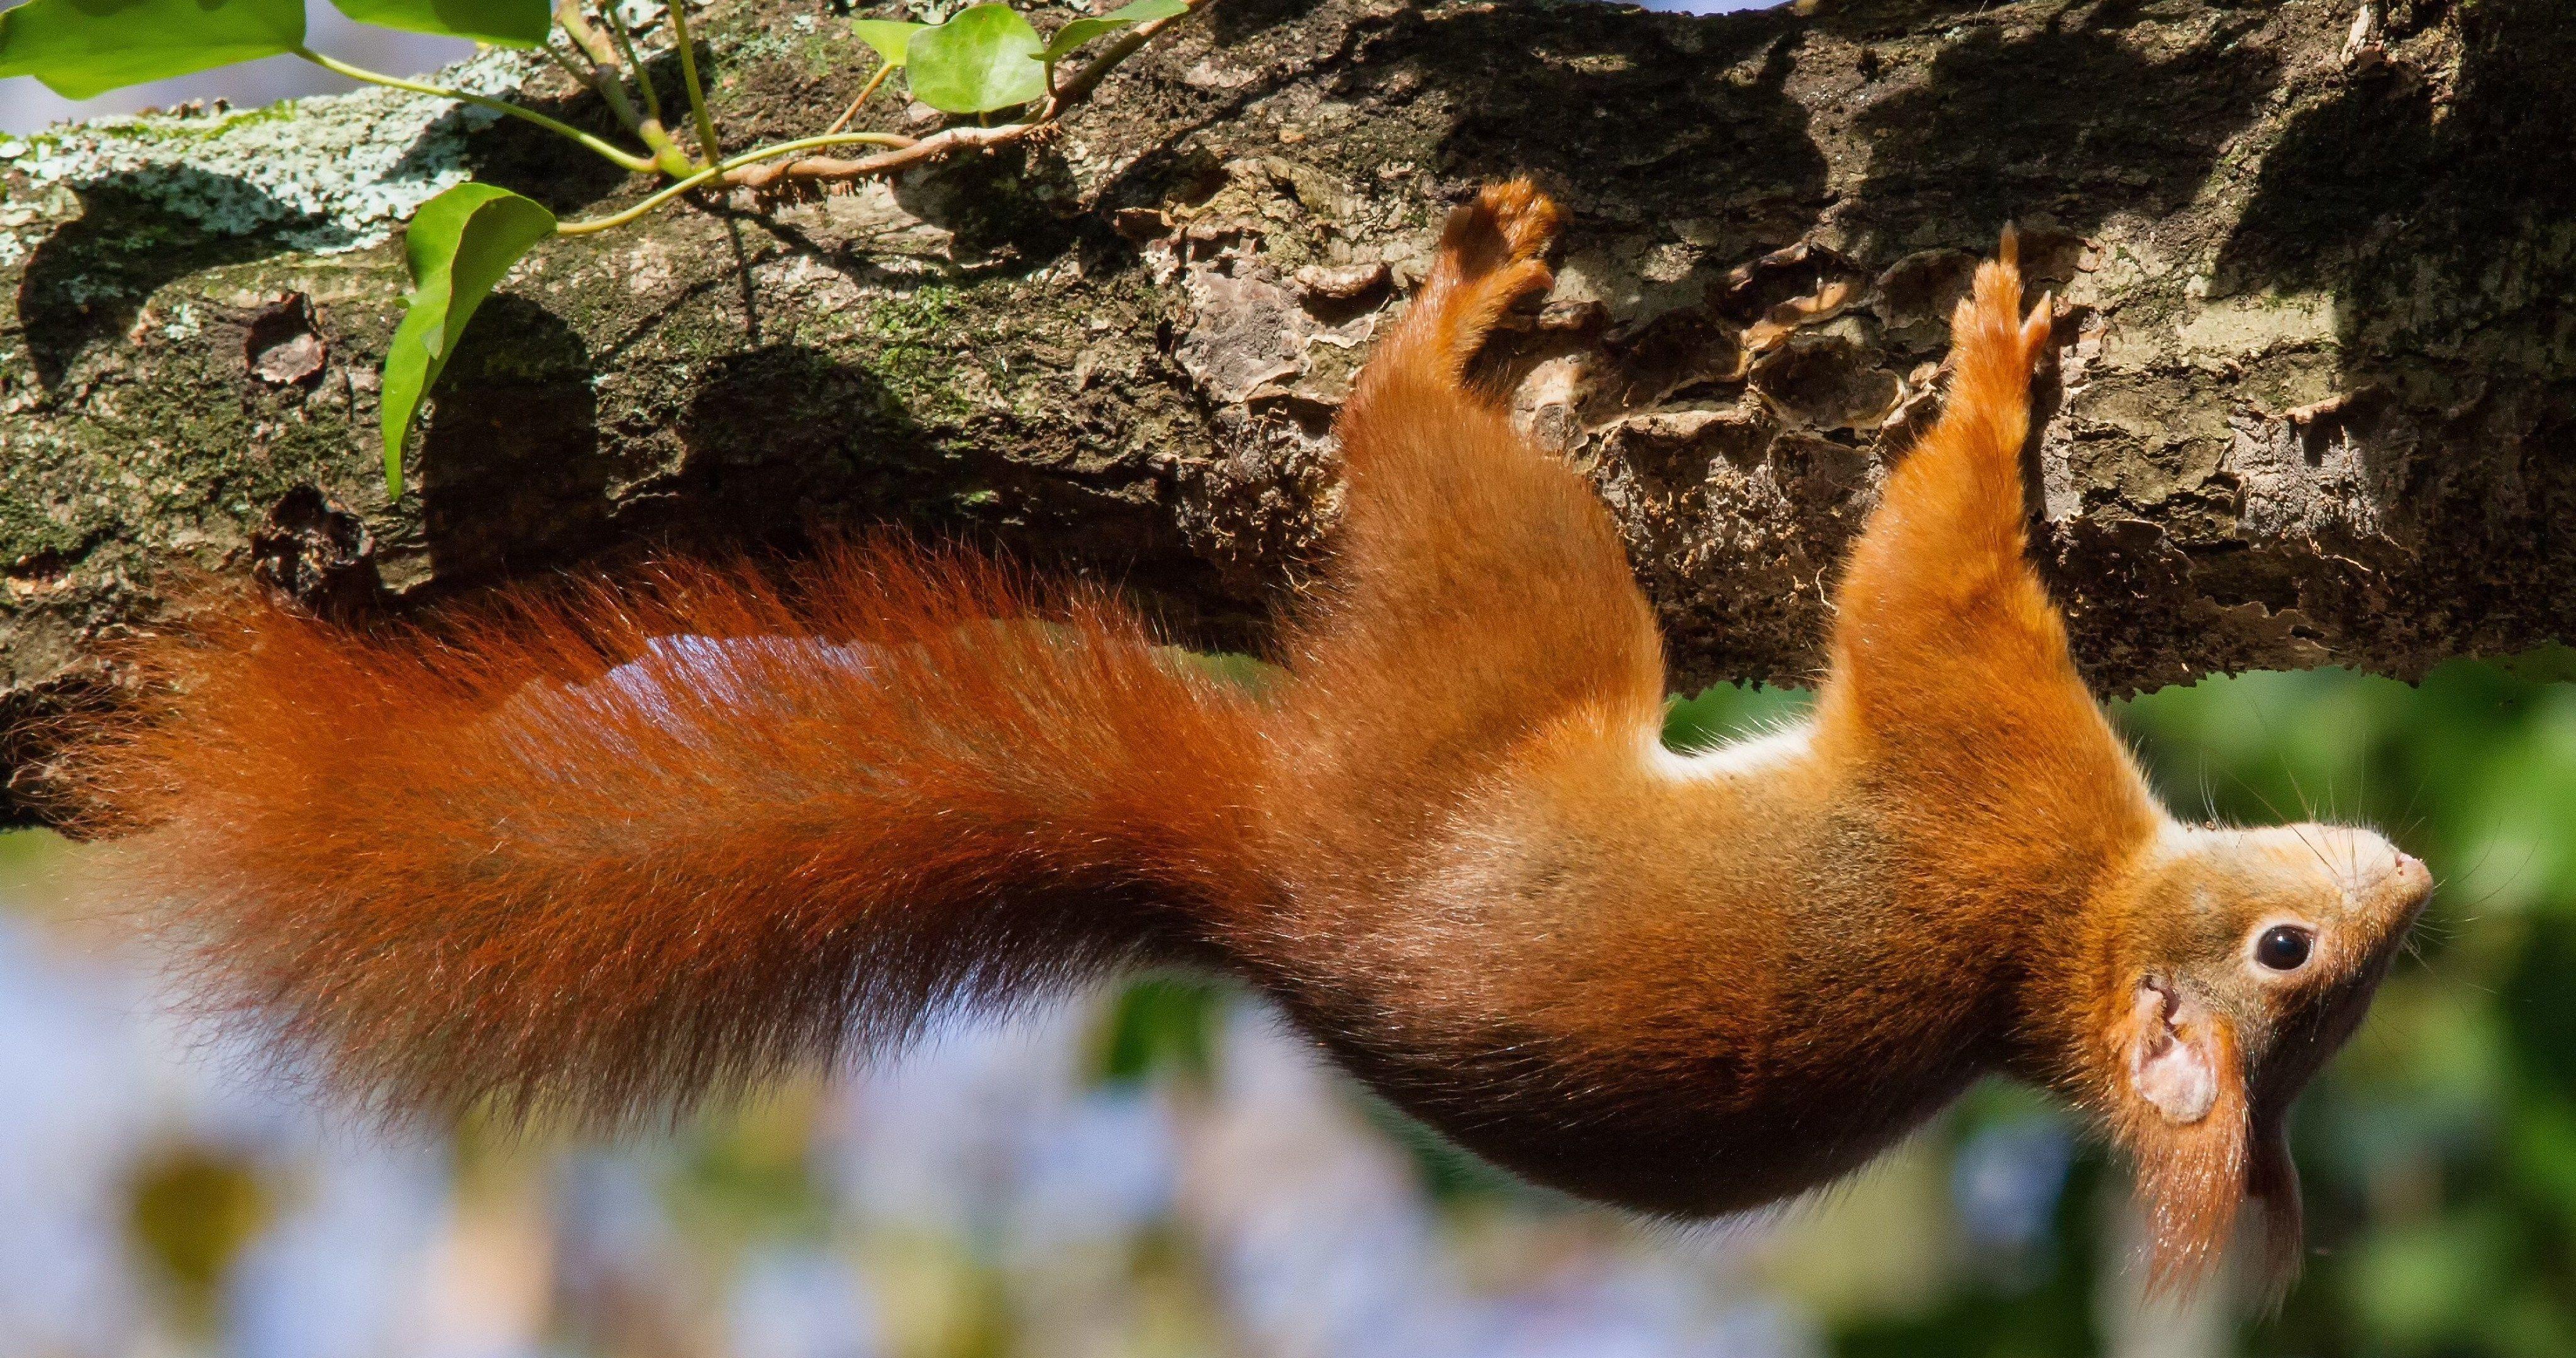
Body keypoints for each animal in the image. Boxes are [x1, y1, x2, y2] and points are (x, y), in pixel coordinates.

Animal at [68, 181, 2430, 1292]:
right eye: (2297, 962)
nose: (2406, 875)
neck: (2066, 922)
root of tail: (1261, 870)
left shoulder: (1979, 744)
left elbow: (1928, 574)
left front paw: (1994, 370)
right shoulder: (1996, 762)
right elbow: (1932, 574)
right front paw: (2008, 359)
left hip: (1509, 612)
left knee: (1429, 470)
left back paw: (1441, 327)